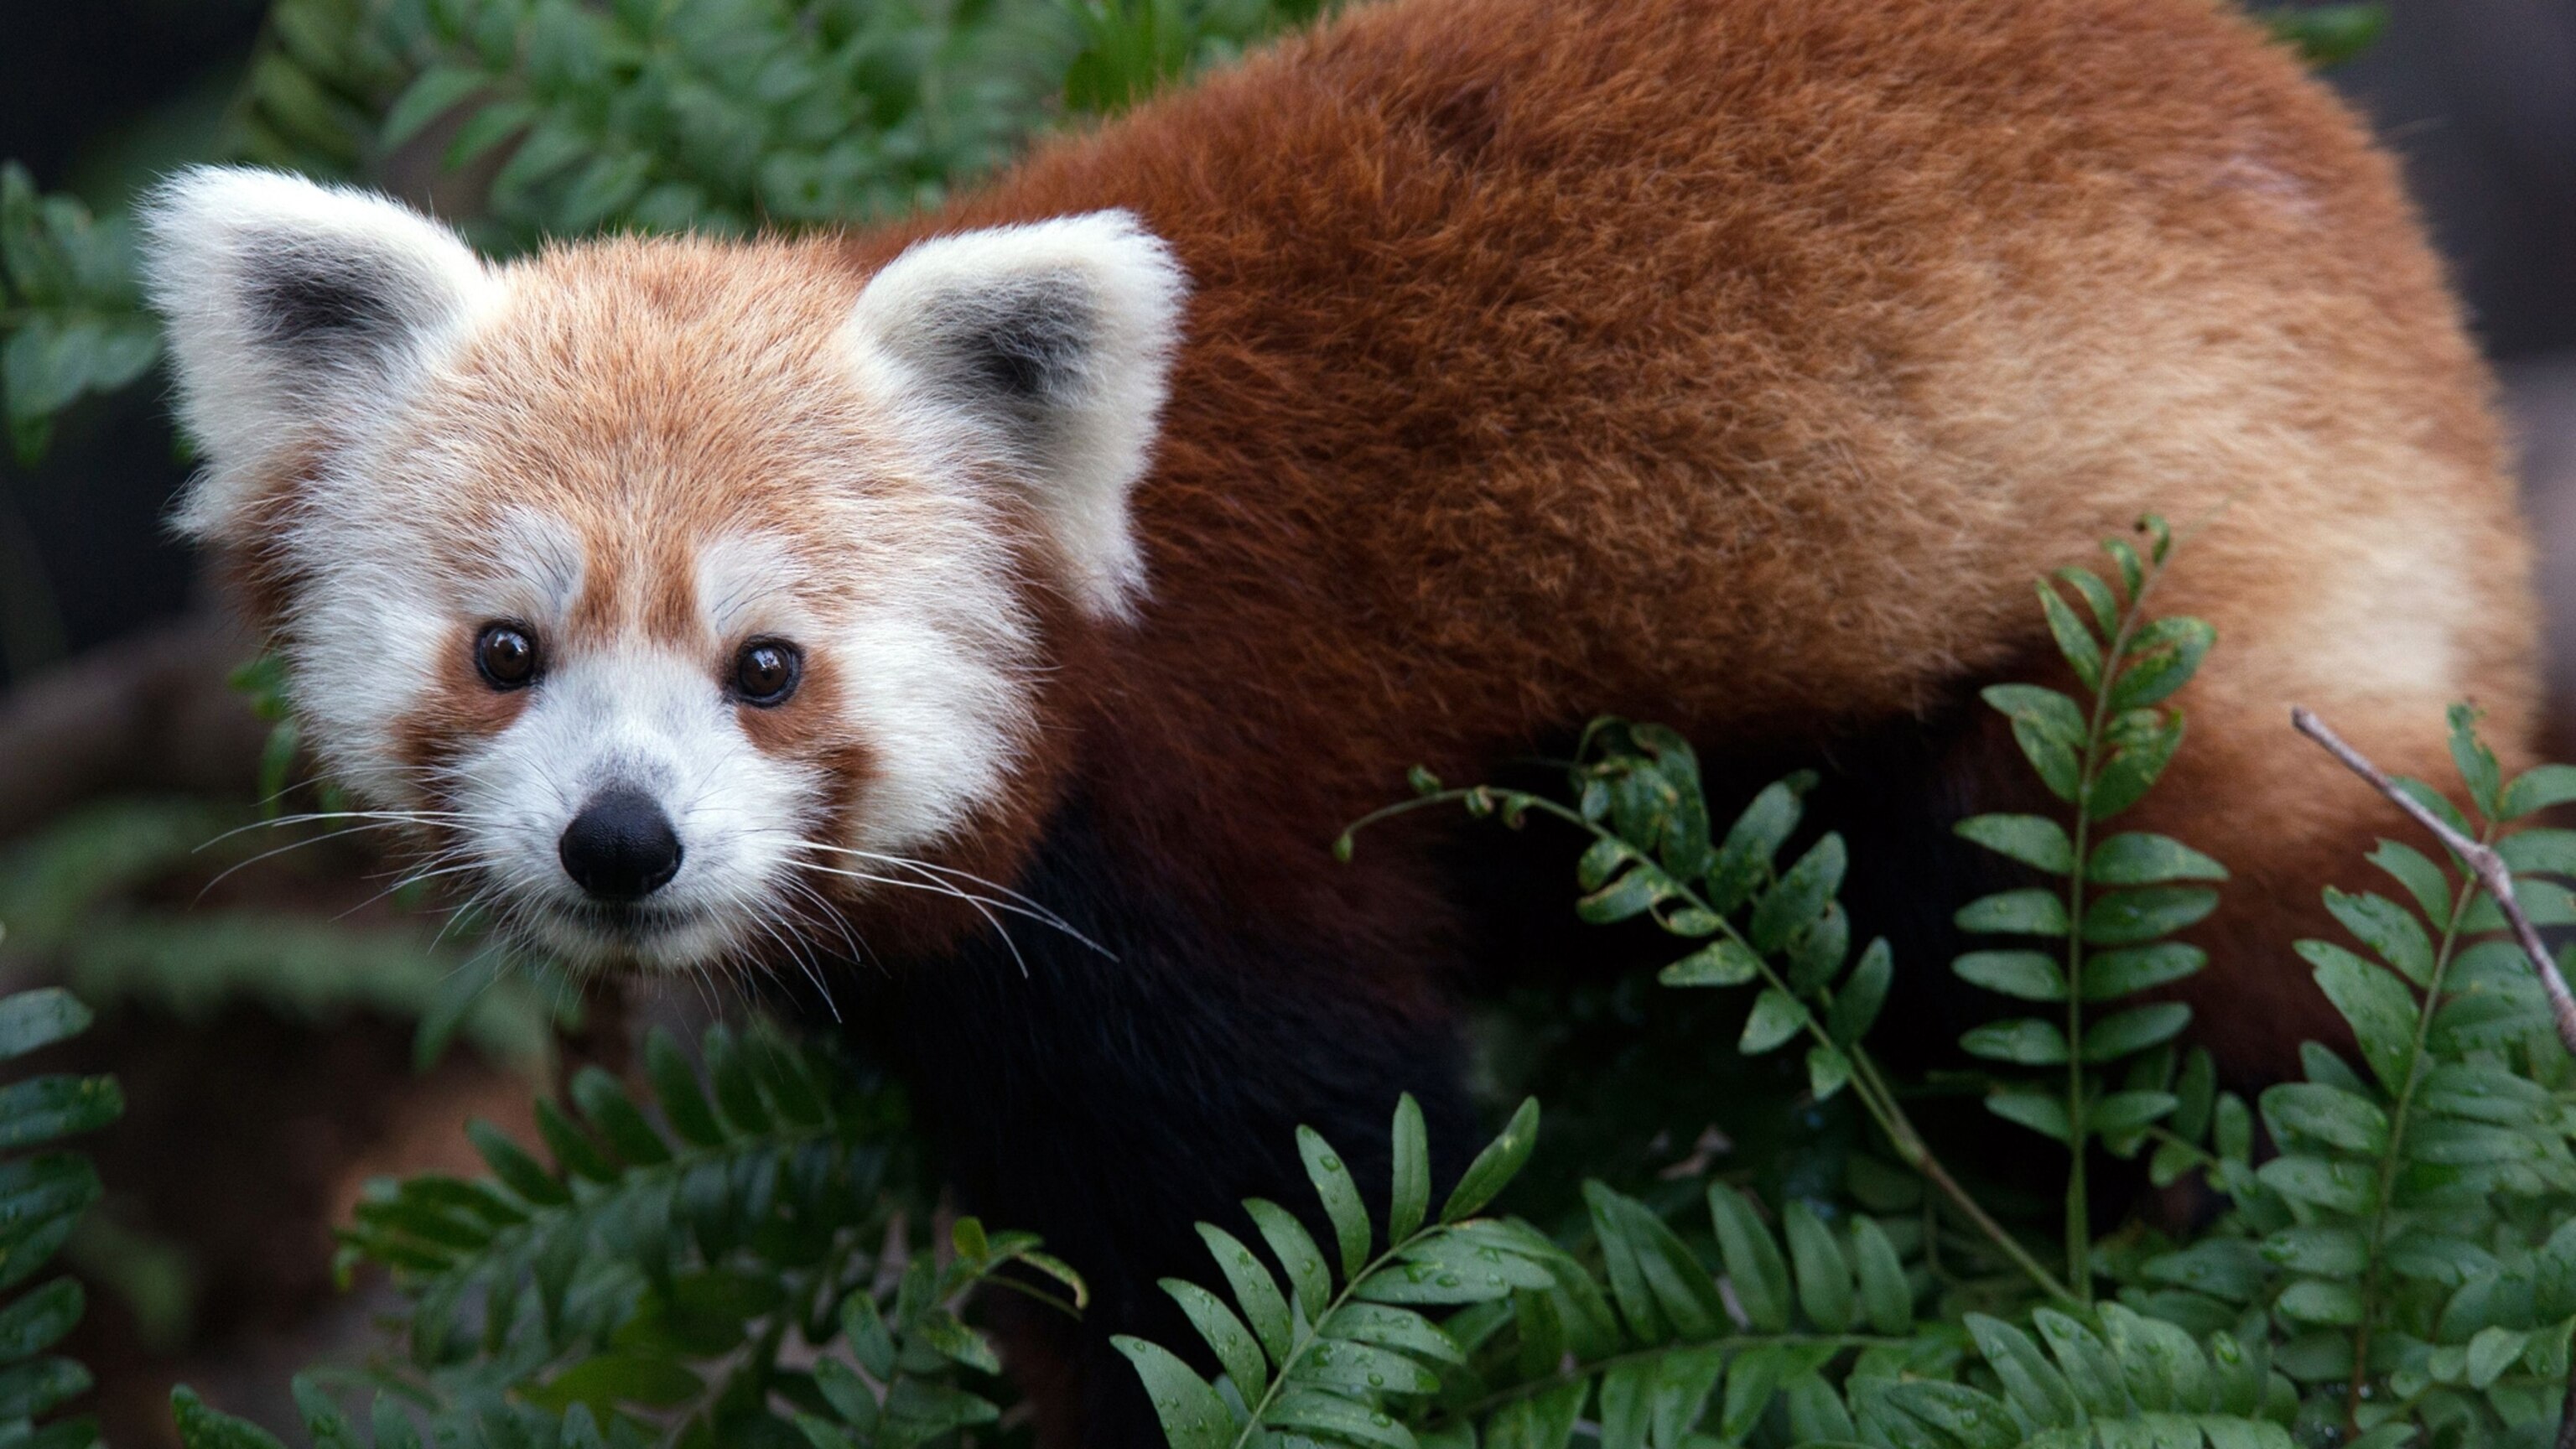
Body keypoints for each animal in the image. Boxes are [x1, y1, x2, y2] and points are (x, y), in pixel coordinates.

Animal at [139, 0, 2537, 1440]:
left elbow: (1298, 1171)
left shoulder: (1210, 828)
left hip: (2165, 628)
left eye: (767, 667)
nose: (620, 842)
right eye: (506, 652)